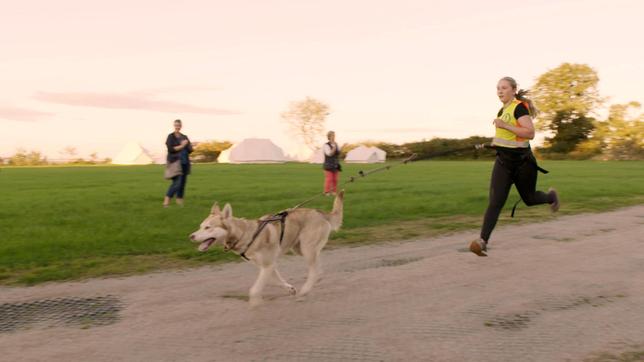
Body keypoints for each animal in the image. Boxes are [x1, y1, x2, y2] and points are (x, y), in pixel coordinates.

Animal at [189, 191, 344, 304]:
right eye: (200, 226)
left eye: (208, 227)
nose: (191, 236)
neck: (245, 234)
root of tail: (320, 212)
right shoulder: (266, 266)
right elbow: (275, 281)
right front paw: (289, 289)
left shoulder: (268, 264)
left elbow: (255, 290)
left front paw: (255, 303)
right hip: (300, 249)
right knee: (318, 269)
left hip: (307, 249)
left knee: (314, 271)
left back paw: (305, 290)